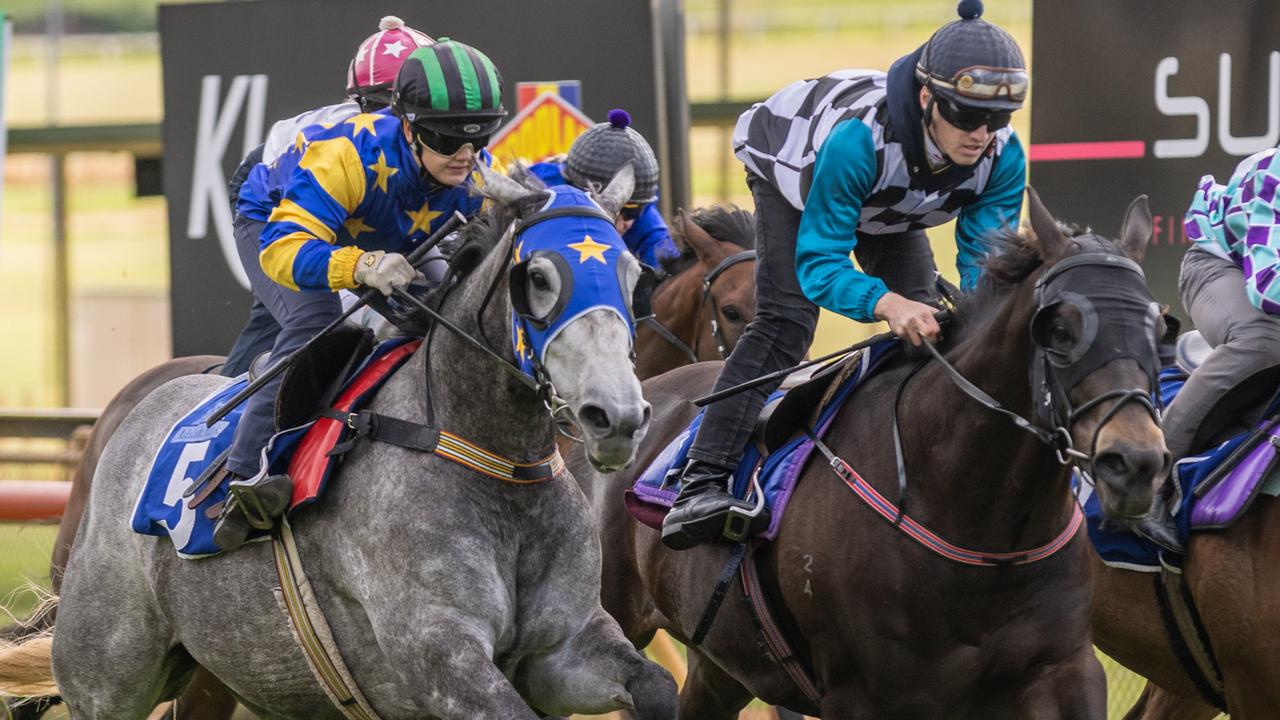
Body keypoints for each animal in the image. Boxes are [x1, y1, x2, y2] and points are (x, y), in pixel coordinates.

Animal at [0, 163, 675, 717]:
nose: (616, 417)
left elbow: (657, 686)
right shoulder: (440, 656)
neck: (492, 460)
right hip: (109, 676)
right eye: (537, 276)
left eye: (631, 271)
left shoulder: (566, 648)